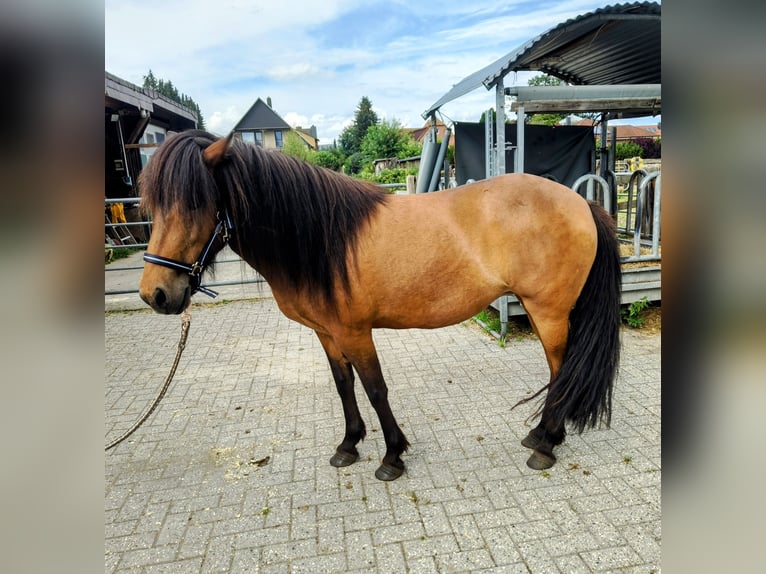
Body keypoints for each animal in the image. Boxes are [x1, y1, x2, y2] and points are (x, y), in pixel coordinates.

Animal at [140, 130, 624, 482]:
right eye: (153, 205)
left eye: (196, 203)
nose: (154, 294)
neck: (323, 239)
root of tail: (581, 201)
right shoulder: (326, 332)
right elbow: (344, 386)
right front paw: (348, 445)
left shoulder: (355, 331)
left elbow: (376, 390)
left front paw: (392, 456)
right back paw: (539, 435)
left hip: (549, 312)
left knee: (561, 371)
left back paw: (547, 445)